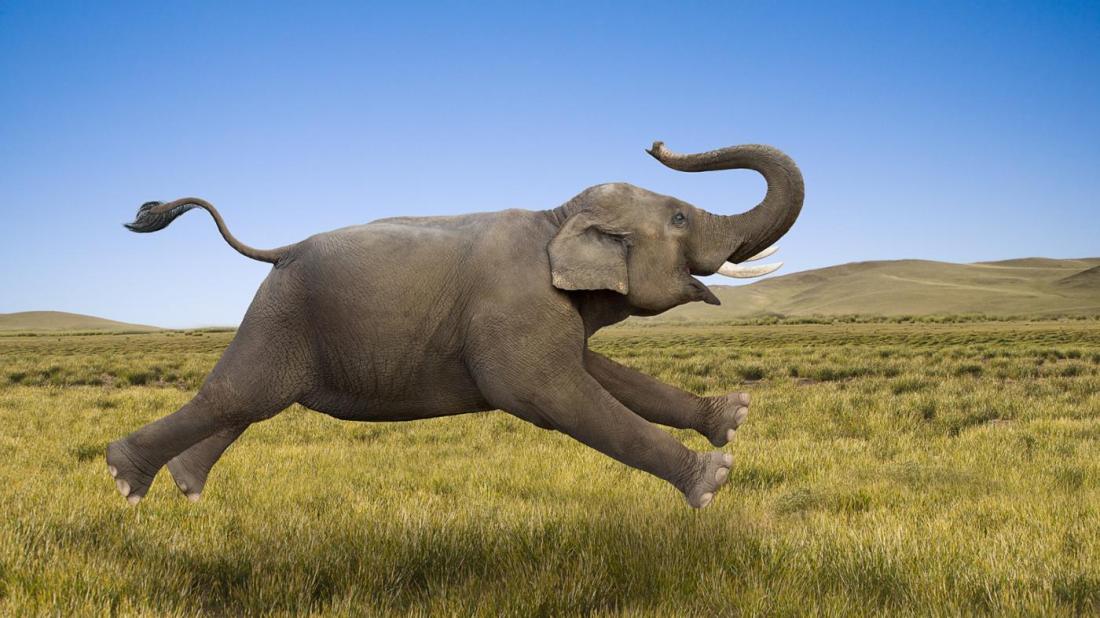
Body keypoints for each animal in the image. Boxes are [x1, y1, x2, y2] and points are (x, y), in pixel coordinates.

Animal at [106, 141, 804, 509]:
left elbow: (595, 372)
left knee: (245, 404)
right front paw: (716, 478)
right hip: (283, 310)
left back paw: (186, 488)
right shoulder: (514, 308)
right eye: (681, 218)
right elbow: (555, 394)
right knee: (234, 397)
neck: (557, 218)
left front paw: (734, 418)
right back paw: (124, 479)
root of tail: (281, 250)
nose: (657, 144)